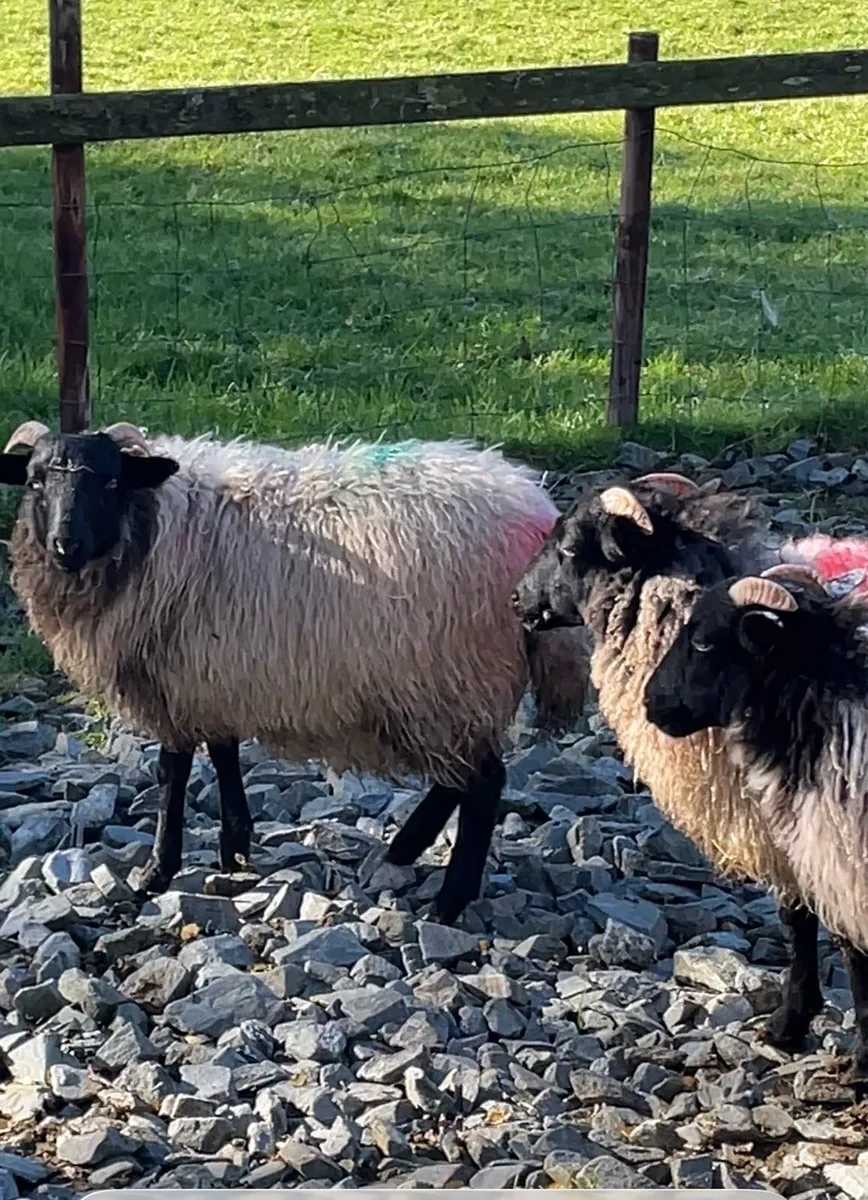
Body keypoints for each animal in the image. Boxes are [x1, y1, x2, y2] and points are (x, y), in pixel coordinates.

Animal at [0, 419, 589, 923]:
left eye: (109, 480)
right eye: (35, 481)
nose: (65, 545)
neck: (155, 523)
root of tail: (533, 509)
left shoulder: (175, 682)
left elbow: (173, 773)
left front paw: (157, 872)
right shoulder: (212, 672)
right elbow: (224, 751)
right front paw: (234, 846)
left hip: (450, 679)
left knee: (484, 784)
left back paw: (448, 900)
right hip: (442, 692)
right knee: (459, 780)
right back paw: (406, 847)